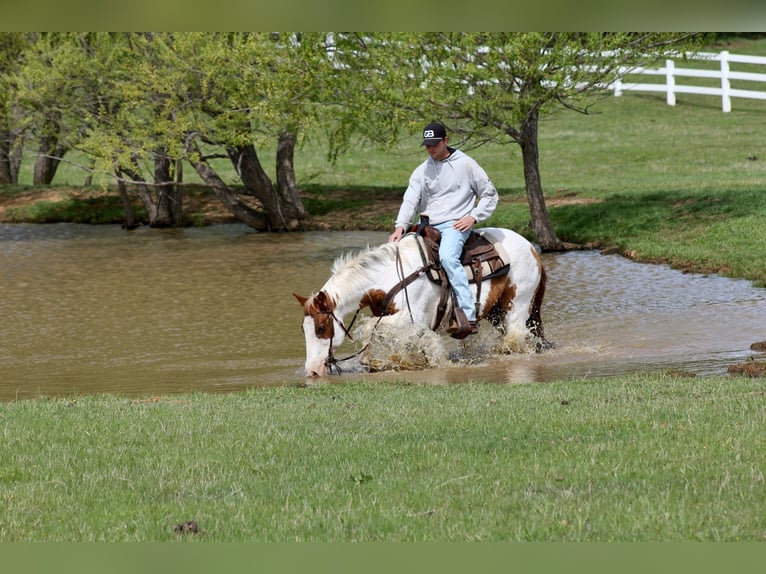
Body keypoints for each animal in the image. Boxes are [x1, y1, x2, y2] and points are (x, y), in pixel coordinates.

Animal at [293, 227, 549, 378]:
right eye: (303, 330)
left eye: (320, 328)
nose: (312, 371)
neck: (388, 275)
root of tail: (530, 247)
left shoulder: (409, 318)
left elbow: (368, 327)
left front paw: (368, 359)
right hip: (497, 314)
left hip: (515, 308)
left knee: (515, 339)